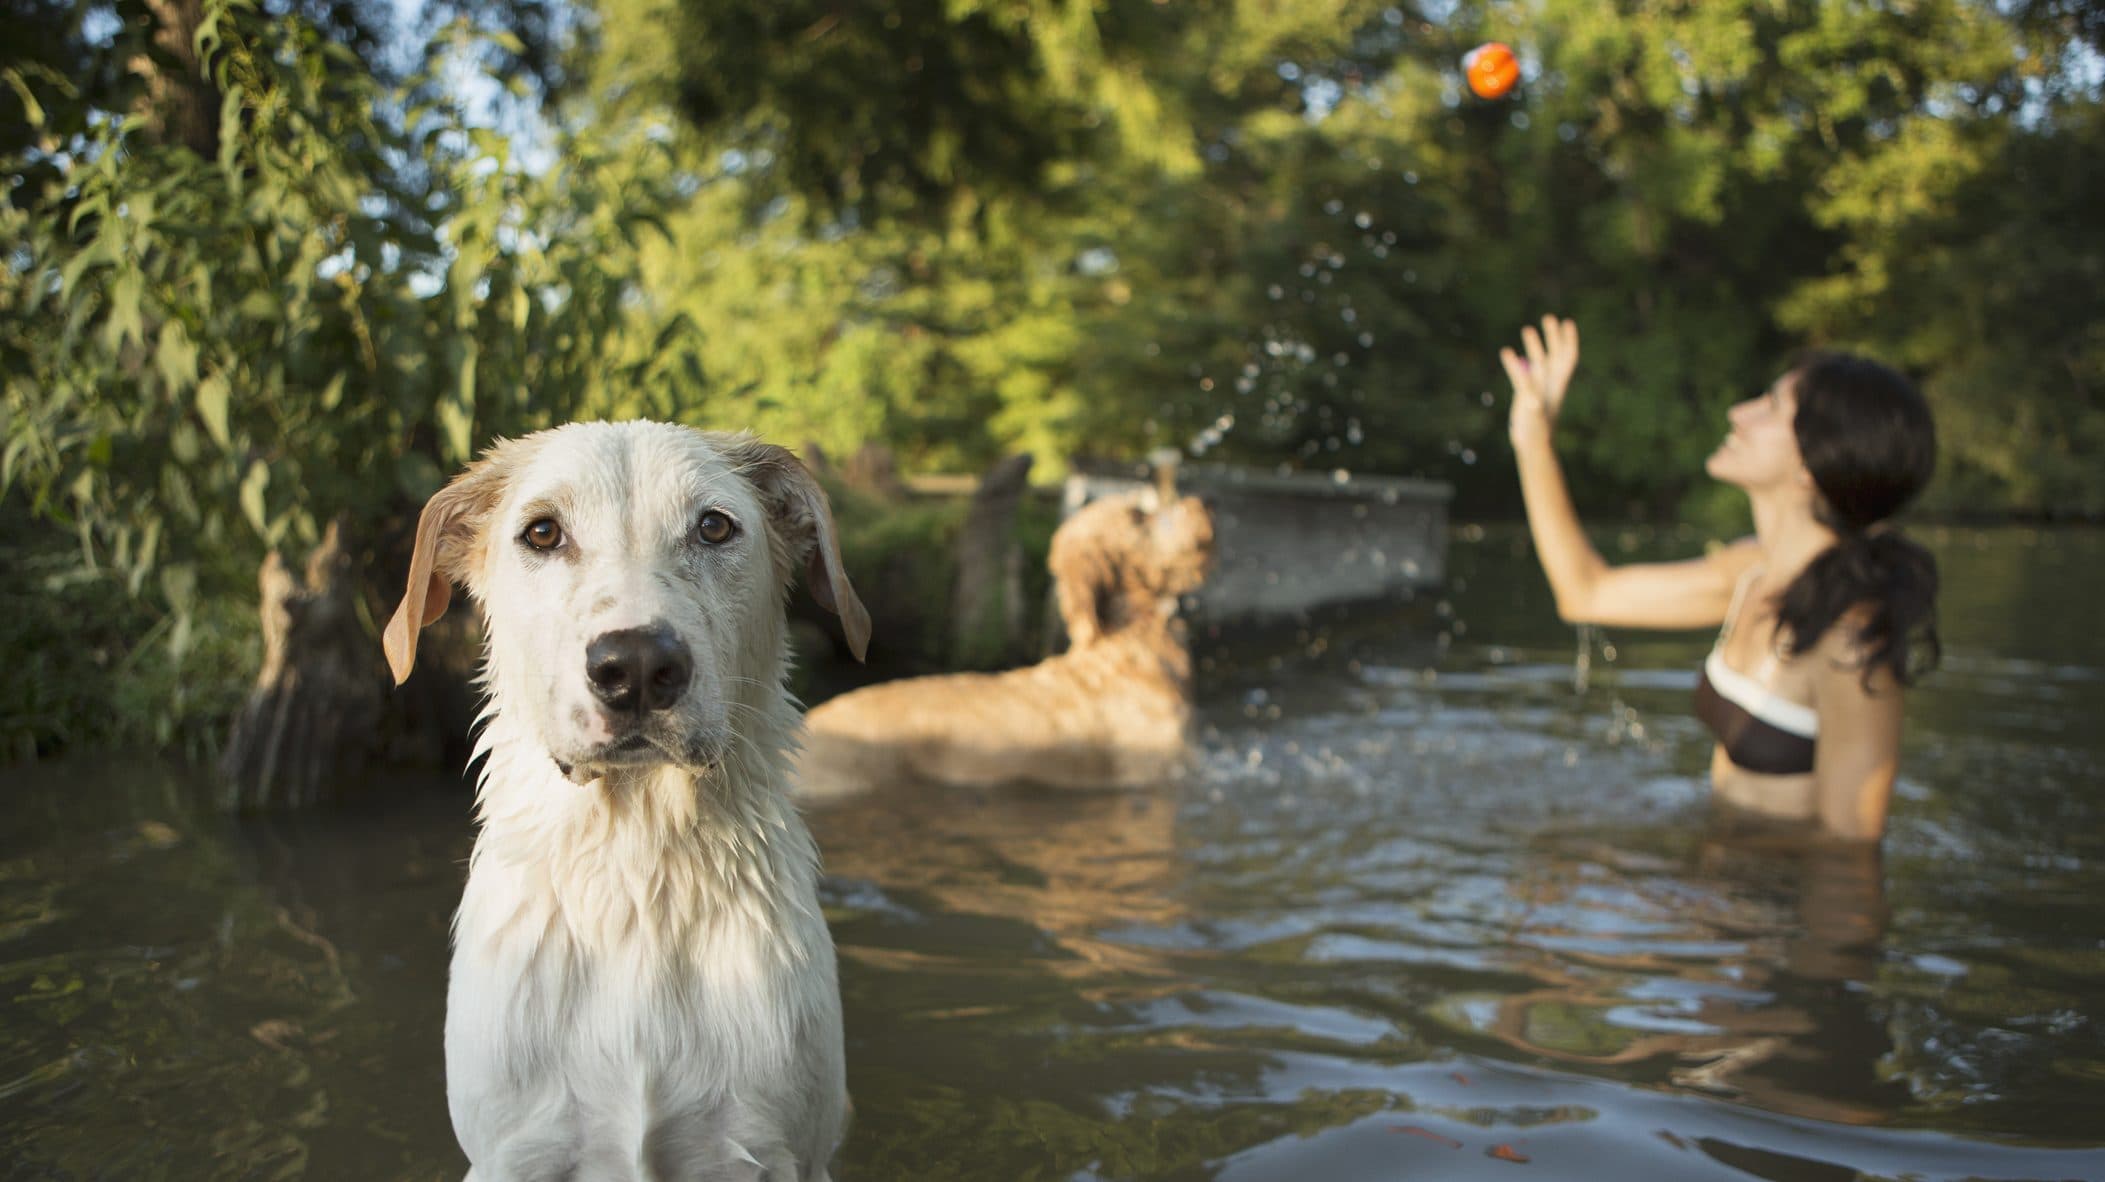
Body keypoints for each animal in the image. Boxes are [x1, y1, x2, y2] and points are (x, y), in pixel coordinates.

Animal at [383, 422, 867, 1177]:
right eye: (543, 532)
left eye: (714, 527)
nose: (636, 666)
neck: (635, 871)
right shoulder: (517, 1151)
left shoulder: (773, 1150)